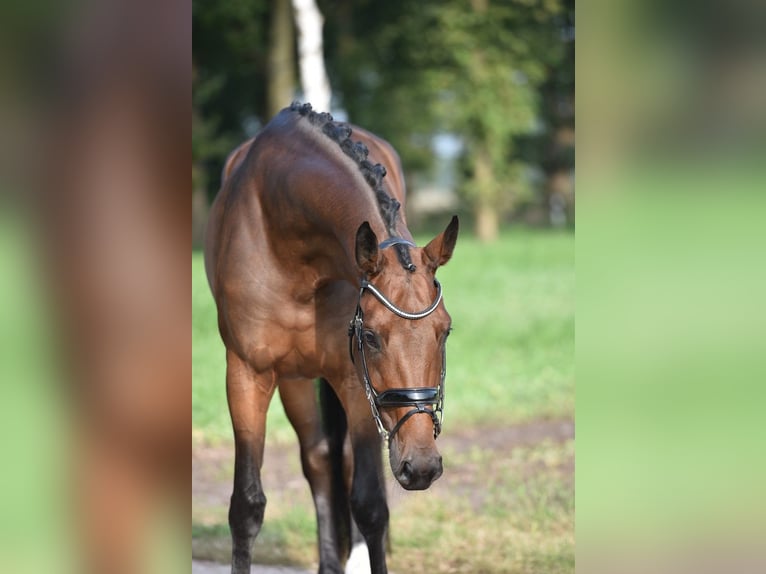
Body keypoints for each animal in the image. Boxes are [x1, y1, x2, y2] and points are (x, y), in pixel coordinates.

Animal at [204, 104, 460, 574]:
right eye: (372, 336)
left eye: (444, 330)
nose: (422, 466)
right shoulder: (247, 372)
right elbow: (246, 507)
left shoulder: (351, 377)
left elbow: (371, 503)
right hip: (295, 378)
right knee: (320, 458)